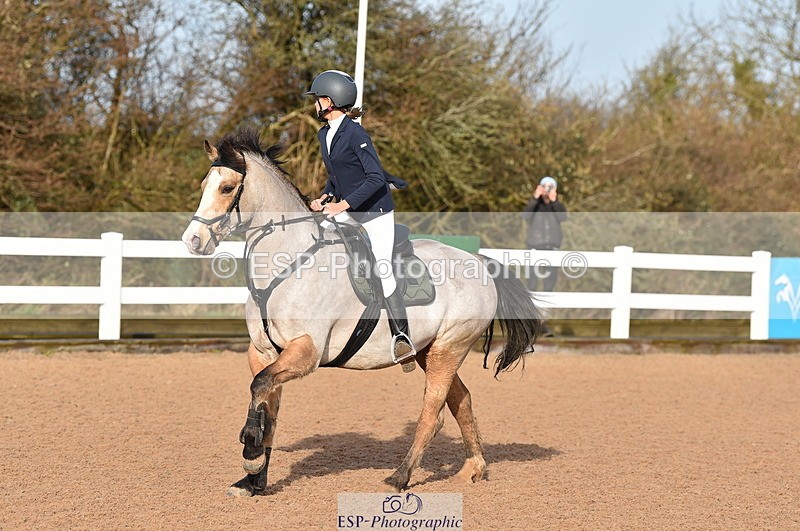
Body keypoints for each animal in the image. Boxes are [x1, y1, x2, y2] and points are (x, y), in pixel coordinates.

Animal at [181, 128, 543, 497]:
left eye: (227, 188)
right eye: (204, 185)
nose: (192, 240)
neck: (287, 265)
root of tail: (479, 262)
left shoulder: (306, 351)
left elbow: (260, 387)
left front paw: (251, 453)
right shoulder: (264, 352)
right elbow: (267, 403)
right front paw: (253, 479)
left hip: (449, 348)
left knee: (433, 414)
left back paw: (400, 476)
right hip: (430, 351)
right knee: (462, 401)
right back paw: (475, 468)